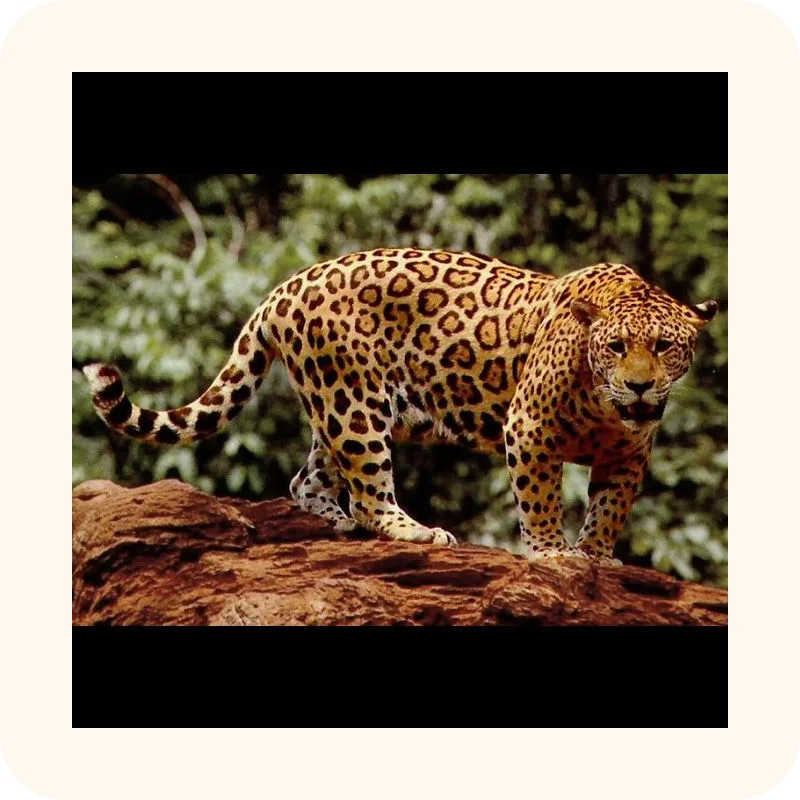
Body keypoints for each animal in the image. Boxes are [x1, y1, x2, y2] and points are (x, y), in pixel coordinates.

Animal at [83, 247, 718, 565]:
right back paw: (415, 532)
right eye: (616, 347)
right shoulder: (529, 426)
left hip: (335, 405)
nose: (639, 387)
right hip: (355, 404)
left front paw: (598, 555)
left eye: (664, 346)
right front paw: (552, 554)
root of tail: (284, 287)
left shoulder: (628, 453)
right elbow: (539, 497)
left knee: (307, 478)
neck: (605, 404)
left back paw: (334, 523)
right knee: (368, 492)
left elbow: (610, 506)